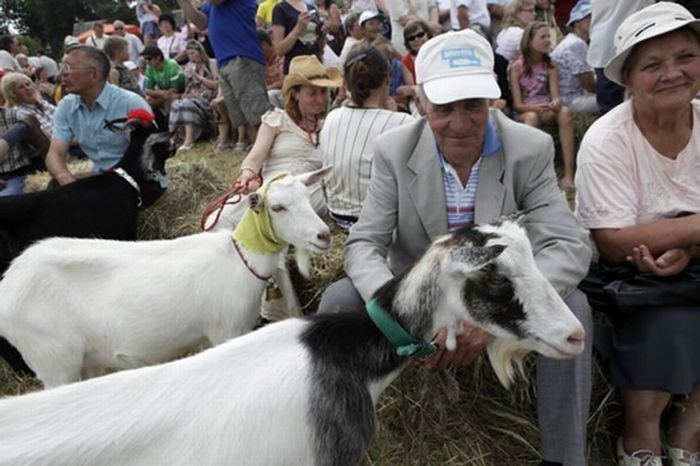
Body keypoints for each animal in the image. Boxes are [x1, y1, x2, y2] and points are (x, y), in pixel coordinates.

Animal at [0, 167, 330, 390]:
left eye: (307, 197)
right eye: (278, 207)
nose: (323, 236)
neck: (239, 257)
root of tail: (10, 281)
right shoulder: (226, 330)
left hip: (84, 359)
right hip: (52, 359)